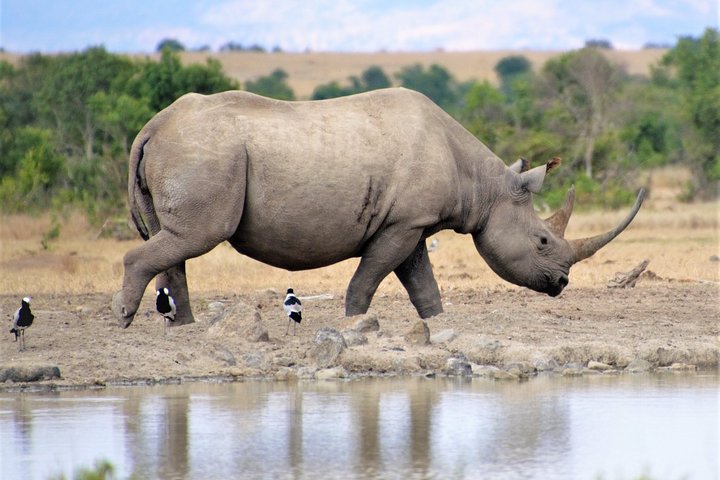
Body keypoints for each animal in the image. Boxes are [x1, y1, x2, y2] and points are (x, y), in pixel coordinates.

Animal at [112, 88, 644, 327]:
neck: (486, 186)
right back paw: (123, 320)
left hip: (189, 151)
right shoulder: (403, 223)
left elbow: (422, 285)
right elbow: (367, 280)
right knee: (195, 237)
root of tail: (151, 126)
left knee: (177, 242)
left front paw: (435, 324)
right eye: (543, 240)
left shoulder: (413, 222)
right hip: (204, 154)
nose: (562, 284)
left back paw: (184, 326)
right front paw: (354, 324)